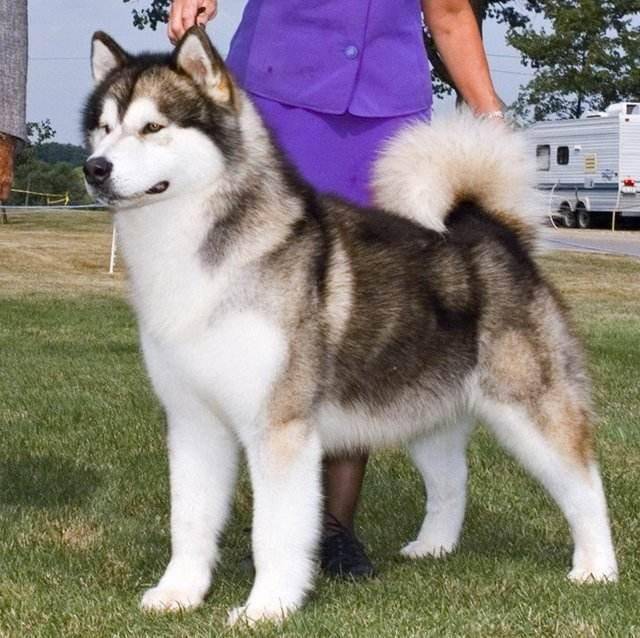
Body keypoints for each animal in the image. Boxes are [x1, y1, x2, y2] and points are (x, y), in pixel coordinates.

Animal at [82, 28, 616, 624]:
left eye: (153, 127)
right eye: (104, 128)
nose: (94, 168)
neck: (189, 249)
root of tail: (496, 233)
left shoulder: (281, 427)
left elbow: (274, 532)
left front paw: (267, 608)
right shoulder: (193, 422)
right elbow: (190, 521)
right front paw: (179, 593)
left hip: (530, 408)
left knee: (584, 485)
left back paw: (597, 568)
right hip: (422, 414)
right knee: (453, 482)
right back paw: (434, 547)